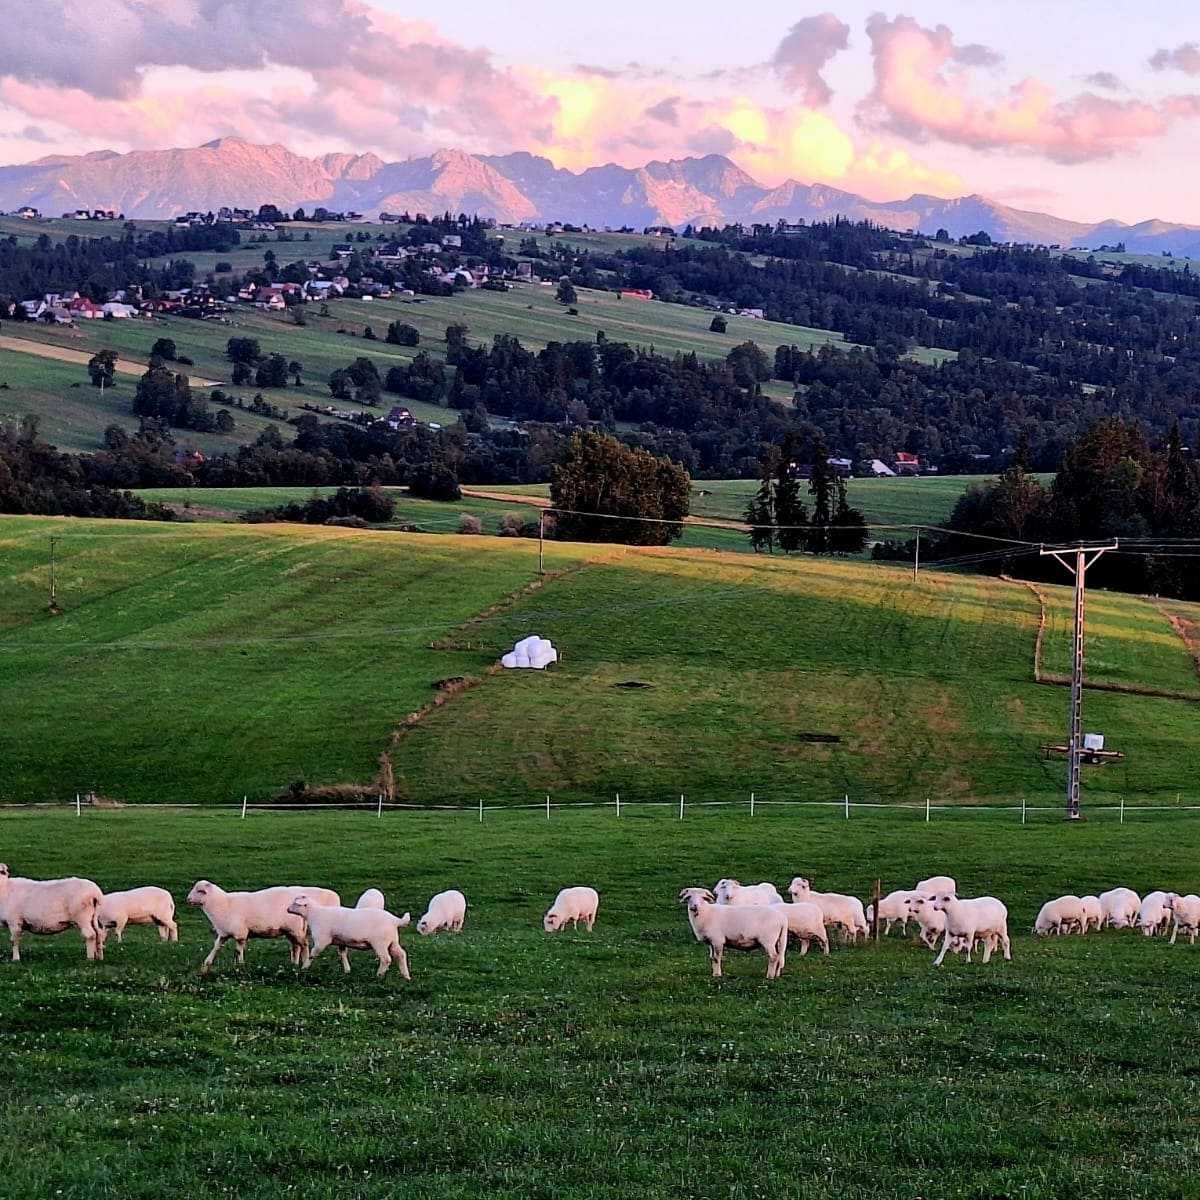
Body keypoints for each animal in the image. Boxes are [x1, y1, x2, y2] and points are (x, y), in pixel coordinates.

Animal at [184, 883, 343, 974]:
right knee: (296, 946)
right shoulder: (224, 932)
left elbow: (238, 950)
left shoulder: (240, 933)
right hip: (290, 930)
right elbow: (216, 947)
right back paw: (293, 964)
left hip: (296, 928)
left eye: (200, 891)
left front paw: (239, 965)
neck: (223, 903)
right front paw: (206, 964)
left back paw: (303, 963)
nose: (188, 899)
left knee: (304, 945)